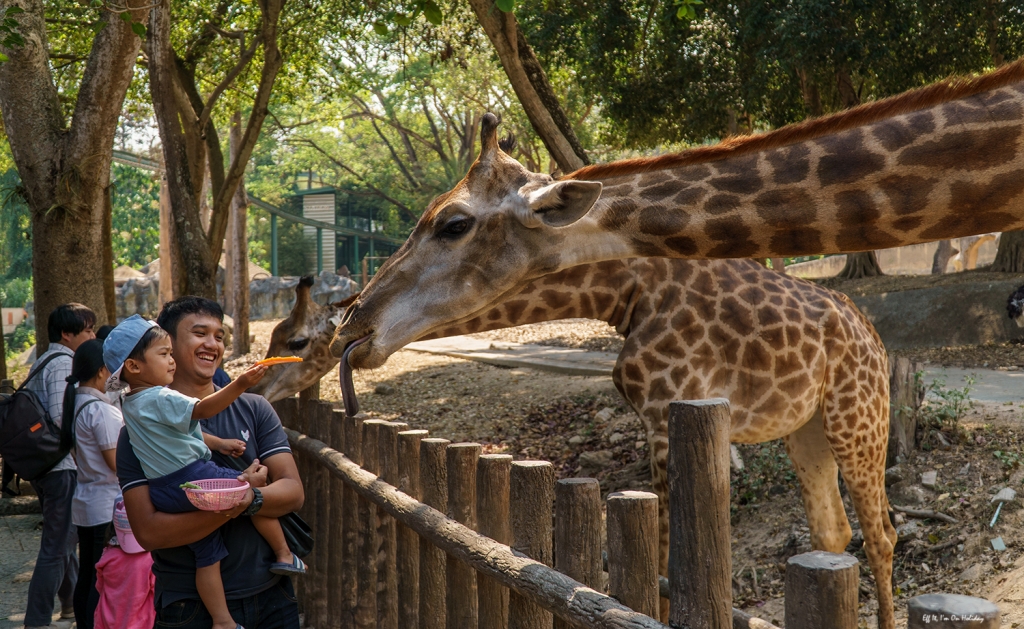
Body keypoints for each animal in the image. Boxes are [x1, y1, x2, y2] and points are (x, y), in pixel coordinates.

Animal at [258, 257, 897, 629]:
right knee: (834, 532)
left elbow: (668, 555)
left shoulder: (669, 409)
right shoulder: (659, 416)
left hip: (859, 413)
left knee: (881, 533)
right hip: (805, 428)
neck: (621, 292)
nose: (254, 384)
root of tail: (873, 334)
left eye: (293, 339)